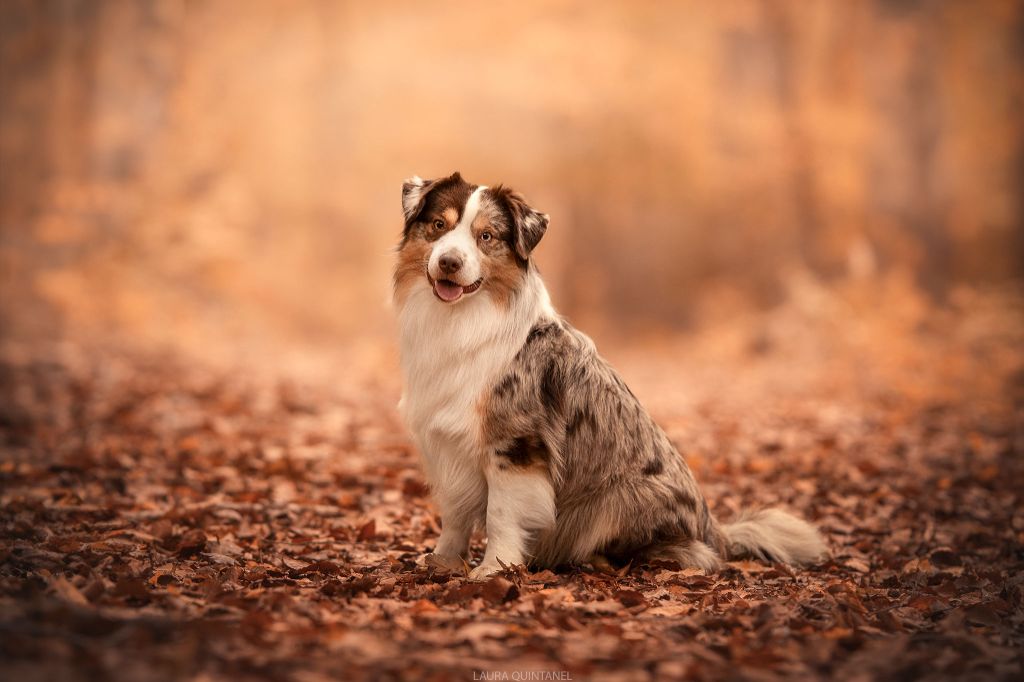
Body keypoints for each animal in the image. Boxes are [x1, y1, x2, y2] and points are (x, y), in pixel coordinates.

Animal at [387, 169, 827, 573]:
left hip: (619, 498)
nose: (449, 262)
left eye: (487, 237)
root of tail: (713, 528)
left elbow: (501, 514)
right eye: (439, 226)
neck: (460, 320)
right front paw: (444, 561)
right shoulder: (447, 444)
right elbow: (455, 514)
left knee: (691, 554)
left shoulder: (517, 444)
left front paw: (494, 568)